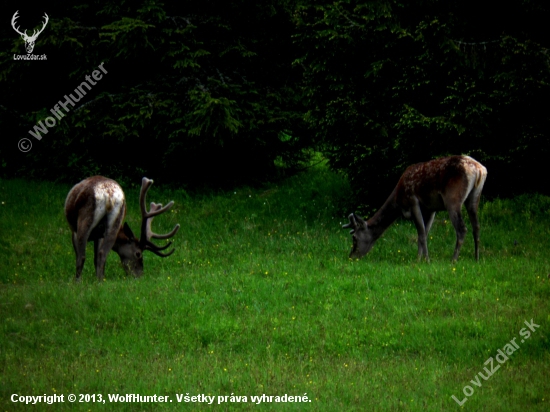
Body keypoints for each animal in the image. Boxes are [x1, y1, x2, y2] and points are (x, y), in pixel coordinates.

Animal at [342, 156, 490, 262]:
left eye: (354, 237)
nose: (351, 256)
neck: (398, 200)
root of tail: (480, 170)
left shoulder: (413, 201)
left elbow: (422, 233)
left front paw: (424, 260)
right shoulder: (431, 209)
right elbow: (424, 232)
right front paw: (421, 259)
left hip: (453, 199)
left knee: (462, 228)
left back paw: (453, 260)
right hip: (474, 196)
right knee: (476, 226)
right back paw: (477, 258)